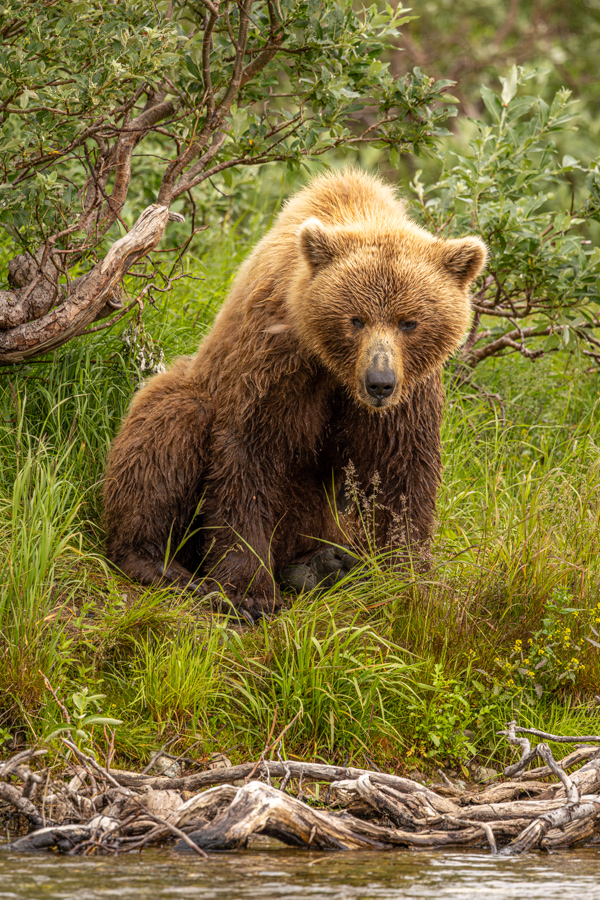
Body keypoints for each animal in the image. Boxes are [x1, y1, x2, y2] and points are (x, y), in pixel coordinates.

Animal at [103, 169, 487, 621]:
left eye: (409, 322)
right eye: (355, 319)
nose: (379, 382)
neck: (334, 367)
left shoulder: (408, 392)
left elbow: (403, 470)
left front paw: (408, 580)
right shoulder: (276, 361)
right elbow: (248, 456)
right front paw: (250, 595)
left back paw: (321, 565)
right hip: (189, 395)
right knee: (166, 435)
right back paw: (163, 565)